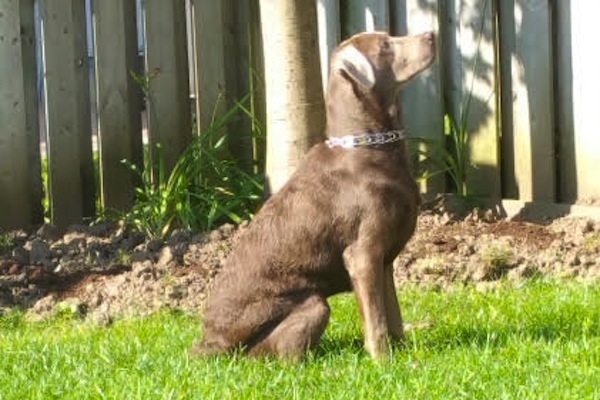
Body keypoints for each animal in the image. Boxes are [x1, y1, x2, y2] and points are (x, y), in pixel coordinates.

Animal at [193, 31, 436, 360]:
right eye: (385, 46)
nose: (431, 35)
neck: (368, 147)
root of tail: (208, 345)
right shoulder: (363, 254)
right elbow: (376, 319)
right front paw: (383, 361)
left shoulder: (384, 259)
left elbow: (392, 314)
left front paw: (404, 353)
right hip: (312, 306)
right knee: (285, 355)